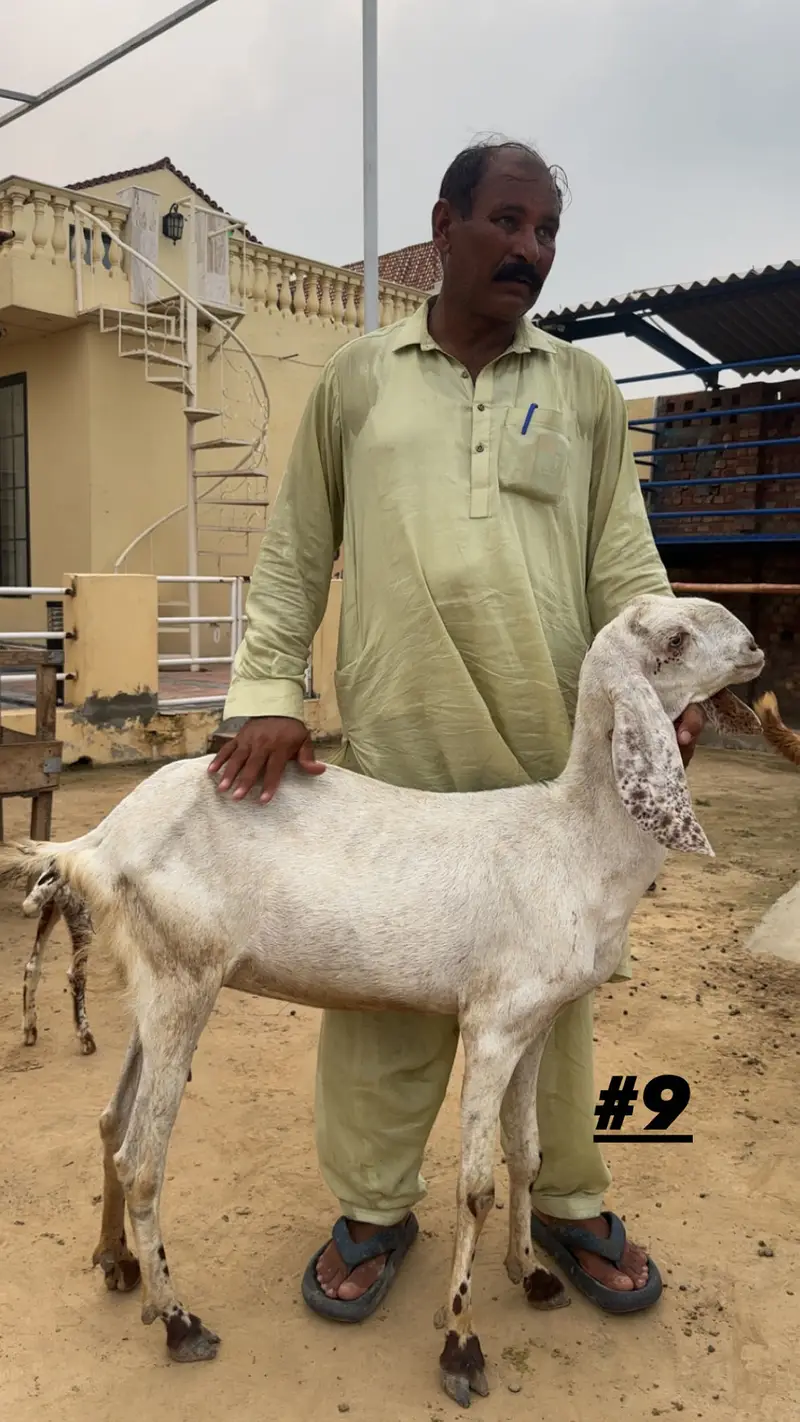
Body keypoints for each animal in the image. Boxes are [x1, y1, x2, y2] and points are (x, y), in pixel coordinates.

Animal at [0, 595, 765, 1404]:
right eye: (675, 639)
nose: (753, 646)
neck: (573, 842)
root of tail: (100, 842)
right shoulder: (491, 1024)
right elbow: (475, 1188)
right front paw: (461, 1345)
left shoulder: (537, 1023)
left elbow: (527, 1155)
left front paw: (530, 1274)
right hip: (184, 981)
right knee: (142, 1159)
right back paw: (178, 1320)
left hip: (152, 985)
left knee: (111, 1121)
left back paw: (115, 1263)